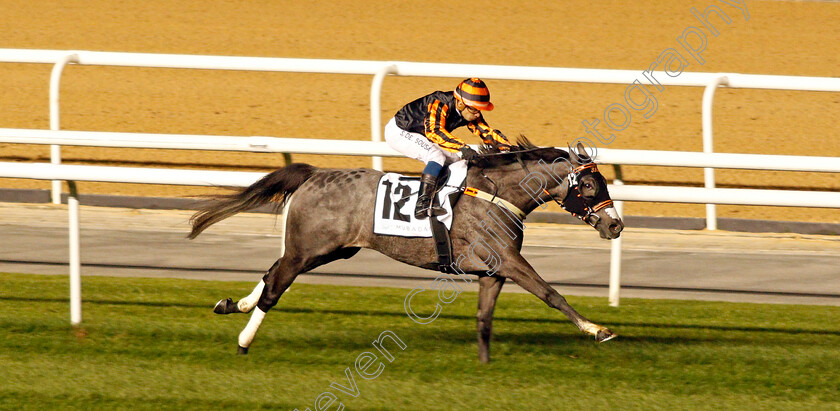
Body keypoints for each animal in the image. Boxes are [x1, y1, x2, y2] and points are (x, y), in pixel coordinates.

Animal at [190, 139, 624, 364]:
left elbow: (484, 318)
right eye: (589, 186)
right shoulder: (509, 260)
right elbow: (552, 294)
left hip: (329, 250)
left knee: (271, 275)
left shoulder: (493, 271)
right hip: (308, 248)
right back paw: (244, 341)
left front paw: (485, 365)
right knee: (276, 285)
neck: (496, 194)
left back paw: (231, 305)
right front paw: (598, 330)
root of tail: (314, 174)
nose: (615, 225)